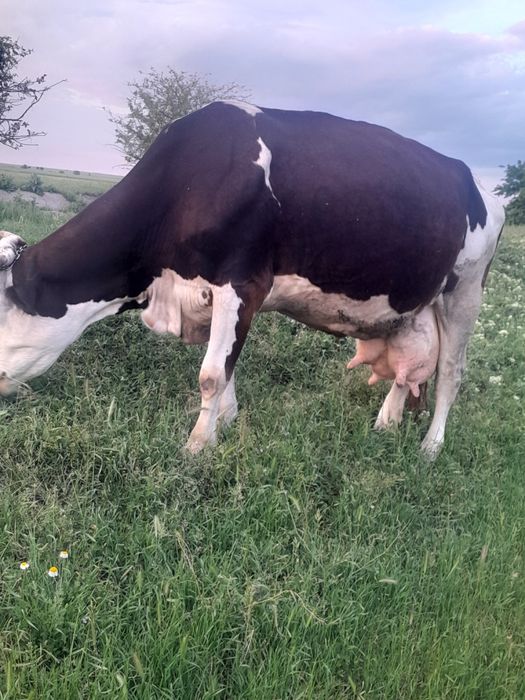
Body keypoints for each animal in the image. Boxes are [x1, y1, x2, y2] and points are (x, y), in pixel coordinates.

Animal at [0, 101, 504, 457]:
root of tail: (478, 182)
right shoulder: (214, 295)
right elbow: (227, 369)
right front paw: (224, 426)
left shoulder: (242, 282)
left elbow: (210, 374)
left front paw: (196, 449)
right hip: (414, 304)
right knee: (408, 367)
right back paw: (386, 424)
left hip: (464, 292)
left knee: (451, 372)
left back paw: (430, 448)